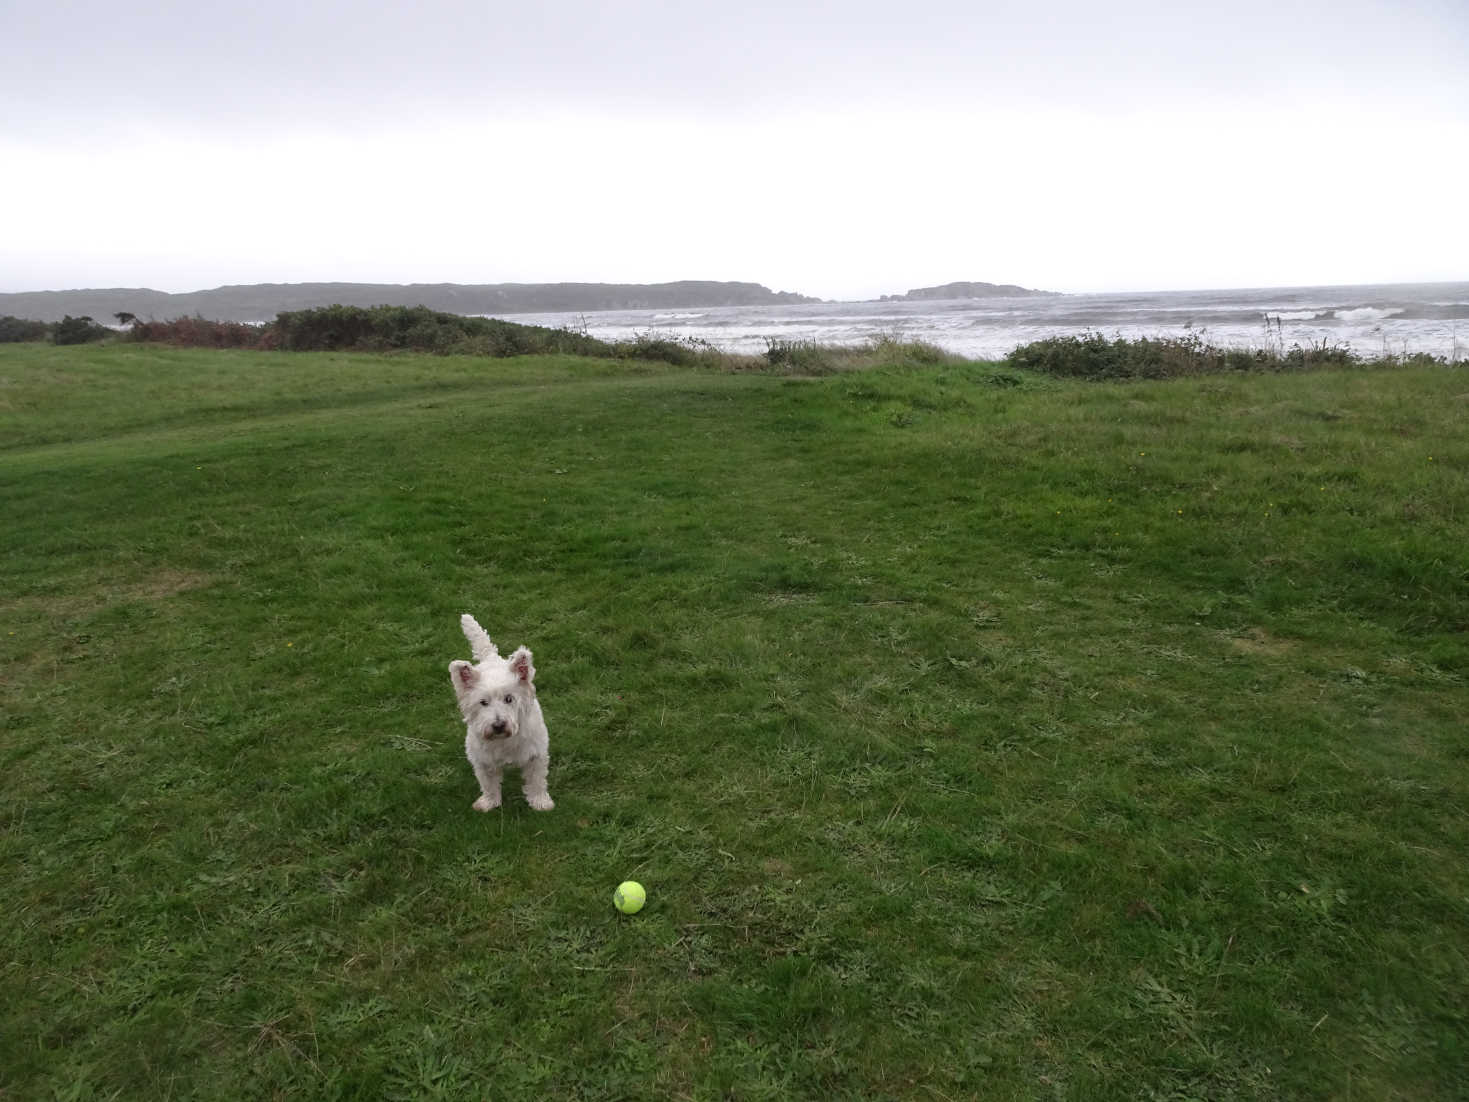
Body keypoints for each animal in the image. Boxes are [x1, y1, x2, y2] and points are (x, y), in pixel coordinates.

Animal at [443, 617, 552, 816]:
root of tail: (491, 658)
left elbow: (536, 780)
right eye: (483, 702)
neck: (504, 742)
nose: (498, 725)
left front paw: (540, 802)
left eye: (509, 698)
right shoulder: (482, 760)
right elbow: (488, 784)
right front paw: (489, 802)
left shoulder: (536, 755)